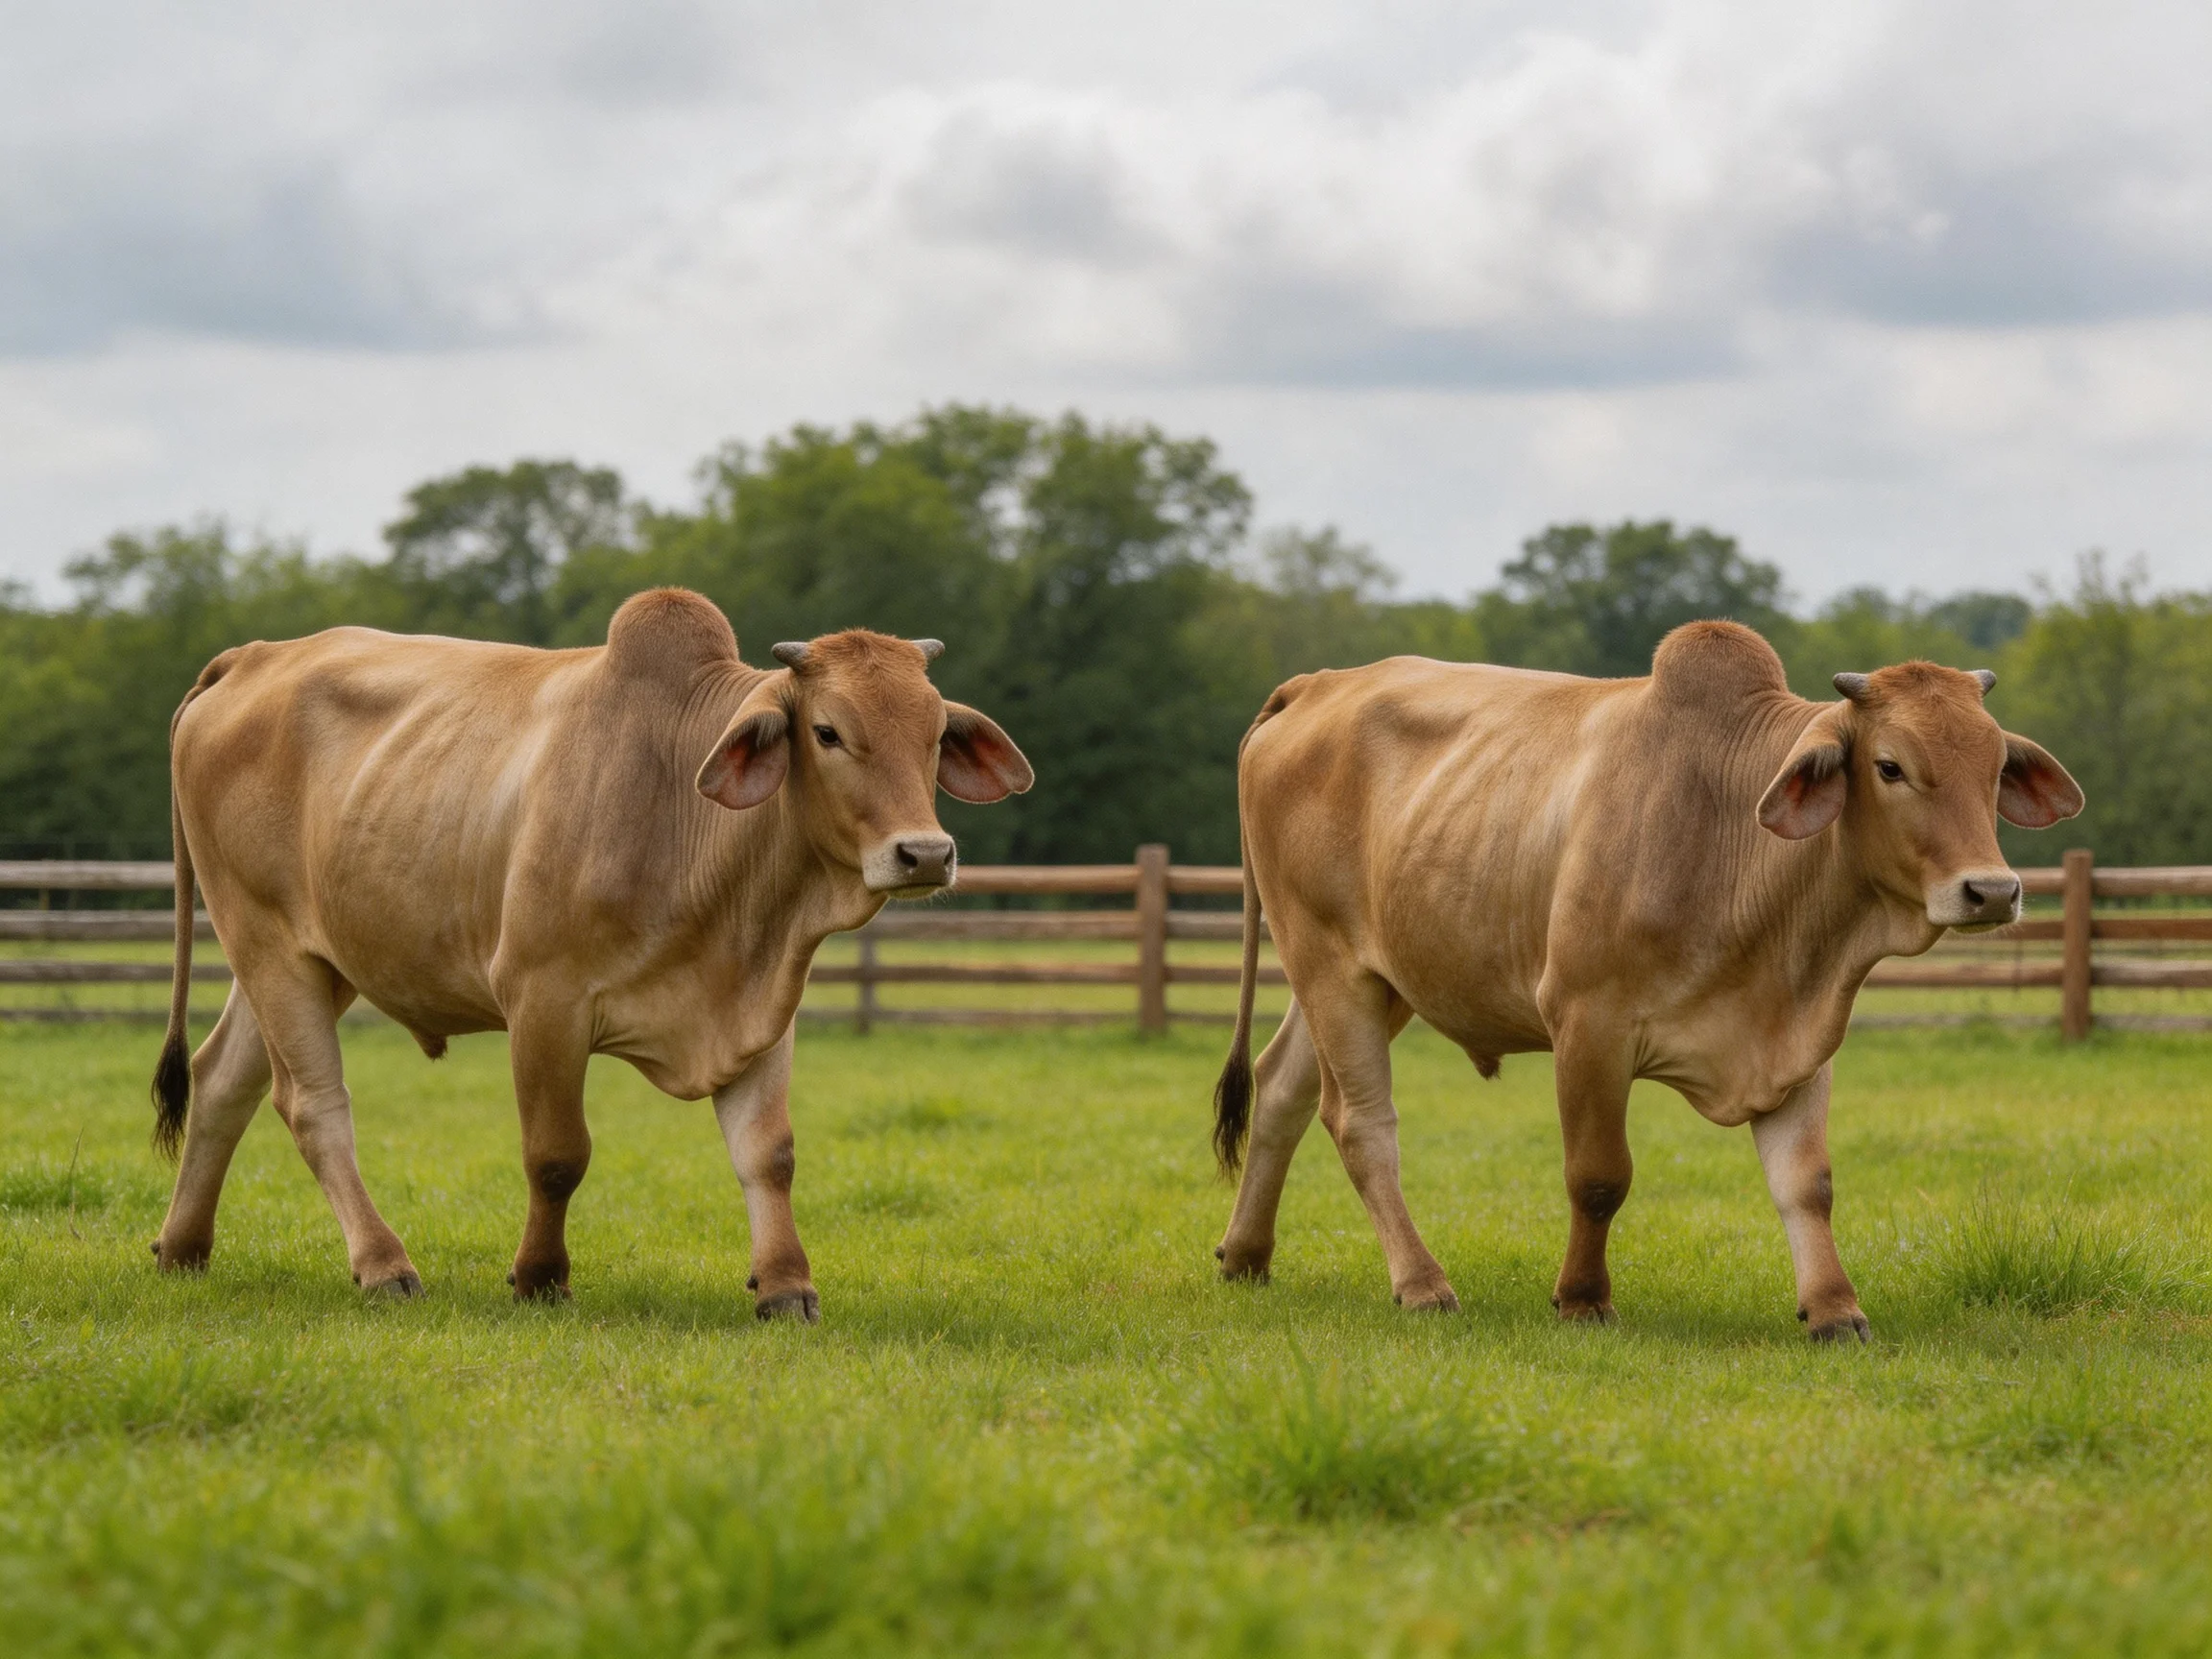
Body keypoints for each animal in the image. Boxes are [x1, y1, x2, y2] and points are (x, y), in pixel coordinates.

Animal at [147, 588, 1032, 1318]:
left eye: (934, 735)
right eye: (828, 732)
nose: (924, 853)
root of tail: (253, 655)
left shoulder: (763, 1012)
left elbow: (768, 1154)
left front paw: (785, 1284)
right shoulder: (545, 1001)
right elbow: (557, 1156)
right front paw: (540, 1278)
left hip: (314, 957)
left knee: (221, 1080)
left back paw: (183, 1248)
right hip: (268, 943)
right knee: (313, 1105)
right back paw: (383, 1265)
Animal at [1209, 621, 2082, 1340]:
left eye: (1995, 766)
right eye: (1890, 766)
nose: (1991, 891)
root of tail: (1317, 683)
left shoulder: (1801, 1039)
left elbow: (1807, 1184)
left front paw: (1834, 1307)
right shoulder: (1587, 1024)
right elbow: (1598, 1177)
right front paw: (1582, 1298)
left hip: (1374, 976)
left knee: (1281, 1090)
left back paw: (1246, 1252)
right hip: (1330, 966)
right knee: (1361, 1123)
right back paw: (1422, 1283)